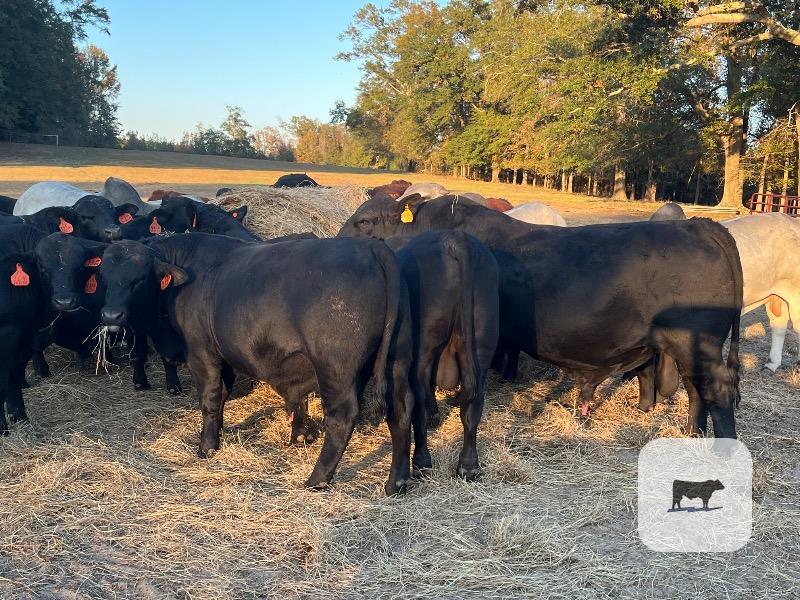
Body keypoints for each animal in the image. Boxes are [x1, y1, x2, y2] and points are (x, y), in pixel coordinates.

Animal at [95, 234, 424, 494]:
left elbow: (210, 398)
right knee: (401, 409)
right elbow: (223, 393)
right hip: (397, 359)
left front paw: (206, 447)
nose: (110, 315)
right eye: (104, 277)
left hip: (335, 369)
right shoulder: (224, 354)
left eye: (139, 279)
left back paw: (317, 479)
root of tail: (369, 246)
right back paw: (396, 482)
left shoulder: (202, 353)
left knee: (342, 417)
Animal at [338, 195, 743, 438]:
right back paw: (688, 429)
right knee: (693, 387)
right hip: (684, 345)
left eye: (366, 220)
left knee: (717, 388)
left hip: (697, 342)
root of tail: (699, 225)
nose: (340, 241)